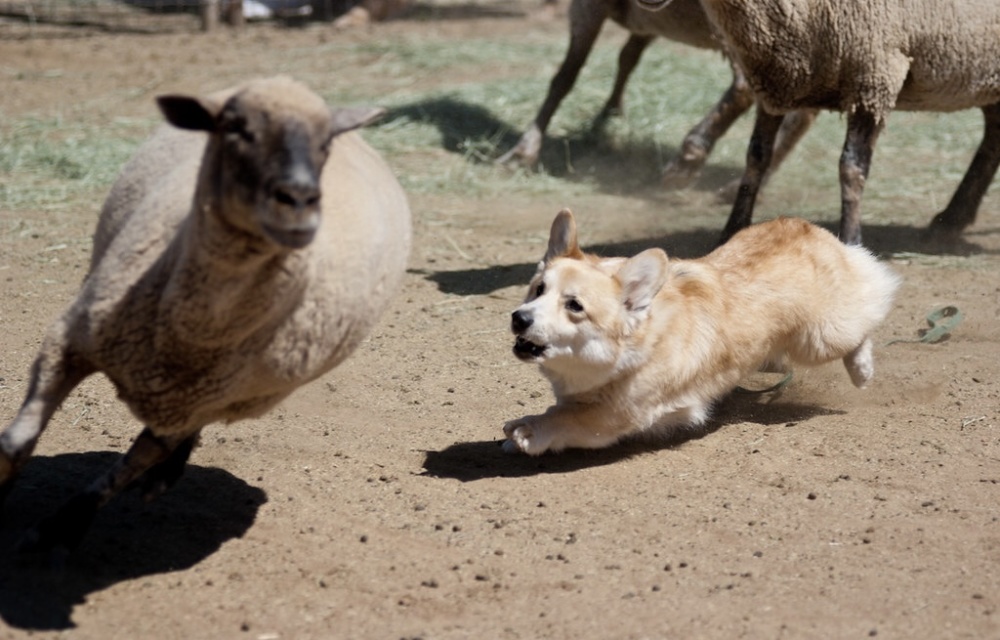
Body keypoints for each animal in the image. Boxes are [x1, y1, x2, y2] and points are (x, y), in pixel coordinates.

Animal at [0, 77, 412, 552]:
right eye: (234, 128)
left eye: (325, 141)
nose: (300, 200)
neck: (191, 328)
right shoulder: (69, 339)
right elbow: (15, 442)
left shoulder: (197, 404)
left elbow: (130, 465)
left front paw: (61, 526)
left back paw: (164, 476)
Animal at [496, 0, 816, 194]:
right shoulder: (646, 25)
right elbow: (628, 57)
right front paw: (610, 114)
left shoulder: (587, 6)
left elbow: (565, 77)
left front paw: (522, 152)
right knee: (800, 110)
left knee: (745, 86)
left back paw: (688, 159)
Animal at [504, 210, 904, 456]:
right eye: (538, 289)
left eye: (574, 306)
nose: (519, 319)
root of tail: (806, 225)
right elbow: (563, 407)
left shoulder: (618, 414)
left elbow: (567, 417)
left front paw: (529, 431)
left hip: (818, 338)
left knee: (868, 308)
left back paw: (862, 369)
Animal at [640, 0, 1000, 245]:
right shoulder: (775, 78)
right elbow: (756, 158)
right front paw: (732, 230)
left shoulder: (874, 74)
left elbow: (851, 168)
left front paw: (852, 240)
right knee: (992, 140)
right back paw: (951, 219)